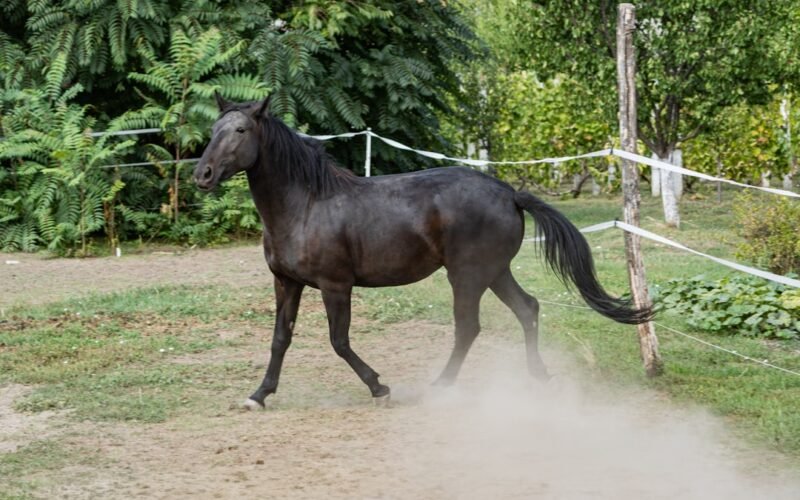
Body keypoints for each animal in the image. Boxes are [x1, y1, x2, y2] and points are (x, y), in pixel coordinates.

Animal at [193, 94, 652, 409]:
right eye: (214, 129)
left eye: (240, 131)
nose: (203, 174)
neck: (306, 205)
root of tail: (510, 193)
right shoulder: (287, 283)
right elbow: (280, 339)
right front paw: (258, 395)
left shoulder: (335, 286)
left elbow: (339, 341)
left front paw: (380, 387)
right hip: (495, 272)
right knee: (528, 308)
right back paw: (536, 377)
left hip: (467, 276)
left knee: (468, 327)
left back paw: (442, 386)